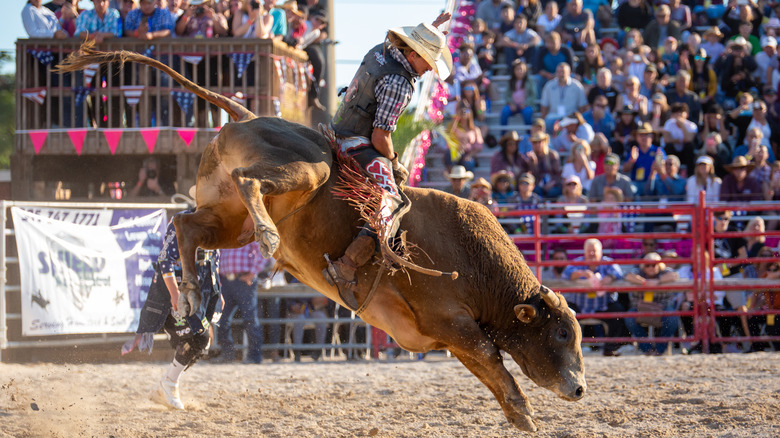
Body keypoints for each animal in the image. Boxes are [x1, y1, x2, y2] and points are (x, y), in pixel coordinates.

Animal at [58, 42, 584, 432]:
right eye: (560, 332)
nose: (580, 388)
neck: (472, 260)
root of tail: (247, 114)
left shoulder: (449, 336)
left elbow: (486, 368)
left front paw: (518, 415)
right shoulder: (453, 322)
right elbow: (492, 358)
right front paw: (526, 412)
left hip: (228, 221)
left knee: (186, 227)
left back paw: (188, 293)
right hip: (307, 172)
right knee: (249, 183)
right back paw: (267, 239)